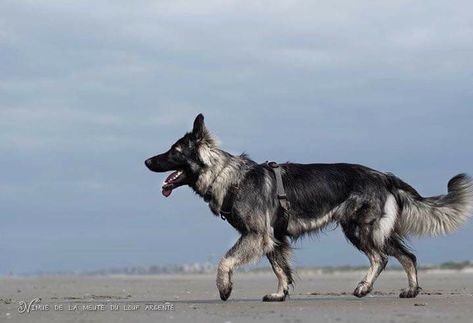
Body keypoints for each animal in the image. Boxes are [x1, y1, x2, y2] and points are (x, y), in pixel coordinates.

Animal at [144, 113, 472, 302]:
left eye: (174, 151)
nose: (146, 161)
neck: (227, 175)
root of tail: (384, 175)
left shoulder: (256, 235)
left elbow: (225, 261)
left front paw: (224, 288)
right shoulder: (272, 239)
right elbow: (280, 269)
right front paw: (280, 294)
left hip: (361, 230)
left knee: (384, 258)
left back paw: (372, 288)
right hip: (371, 231)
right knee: (404, 256)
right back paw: (405, 290)